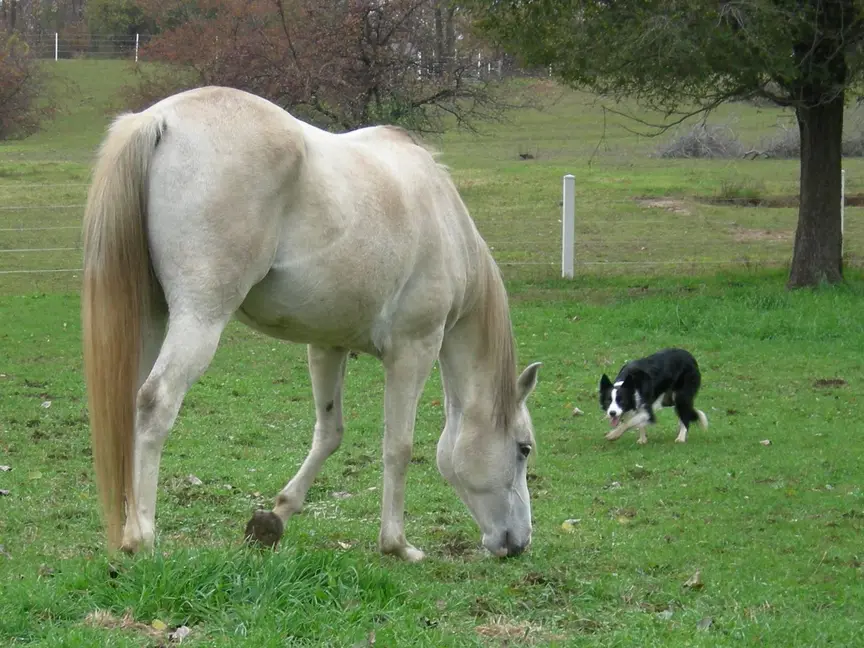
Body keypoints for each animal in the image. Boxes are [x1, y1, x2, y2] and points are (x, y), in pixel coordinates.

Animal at [81, 86, 540, 560]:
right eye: (524, 448)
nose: (519, 542)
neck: (445, 222)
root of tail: (160, 119)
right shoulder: (414, 349)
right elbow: (398, 446)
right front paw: (396, 544)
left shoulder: (327, 346)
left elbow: (330, 433)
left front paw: (274, 517)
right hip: (199, 318)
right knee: (156, 402)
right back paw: (141, 534)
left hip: (149, 319)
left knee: (129, 406)